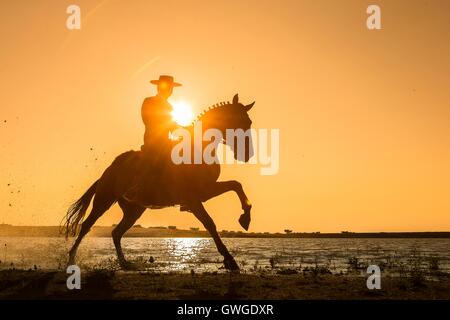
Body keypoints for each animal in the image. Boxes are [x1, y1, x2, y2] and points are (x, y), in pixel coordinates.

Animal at [63, 94, 255, 272]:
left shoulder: (205, 191)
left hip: (134, 210)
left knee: (116, 233)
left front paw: (245, 218)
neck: (197, 149)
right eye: (240, 121)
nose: (247, 154)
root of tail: (108, 172)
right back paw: (71, 261)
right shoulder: (193, 198)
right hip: (104, 200)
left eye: (249, 121)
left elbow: (236, 185)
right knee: (87, 226)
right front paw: (230, 259)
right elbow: (210, 224)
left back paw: (125, 263)